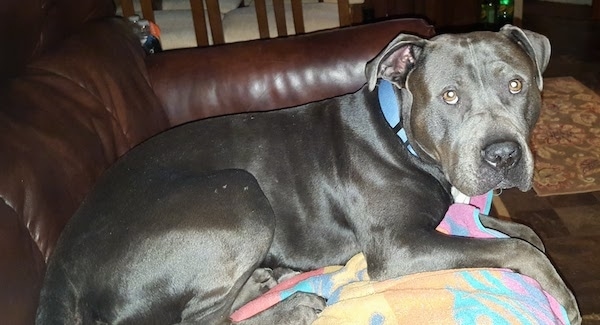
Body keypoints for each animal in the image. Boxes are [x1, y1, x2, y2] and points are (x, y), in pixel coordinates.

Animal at [35, 25, 580, 324]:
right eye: (450, 96)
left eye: (517, 85)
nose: (503, 155)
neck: (399, 132)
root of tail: (63, 261)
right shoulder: (400, 247)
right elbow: (516, 250)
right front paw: (564, 297)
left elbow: (523, 232)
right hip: (240, 196)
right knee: (196, 323)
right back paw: (290, 307)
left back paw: (262, 282)